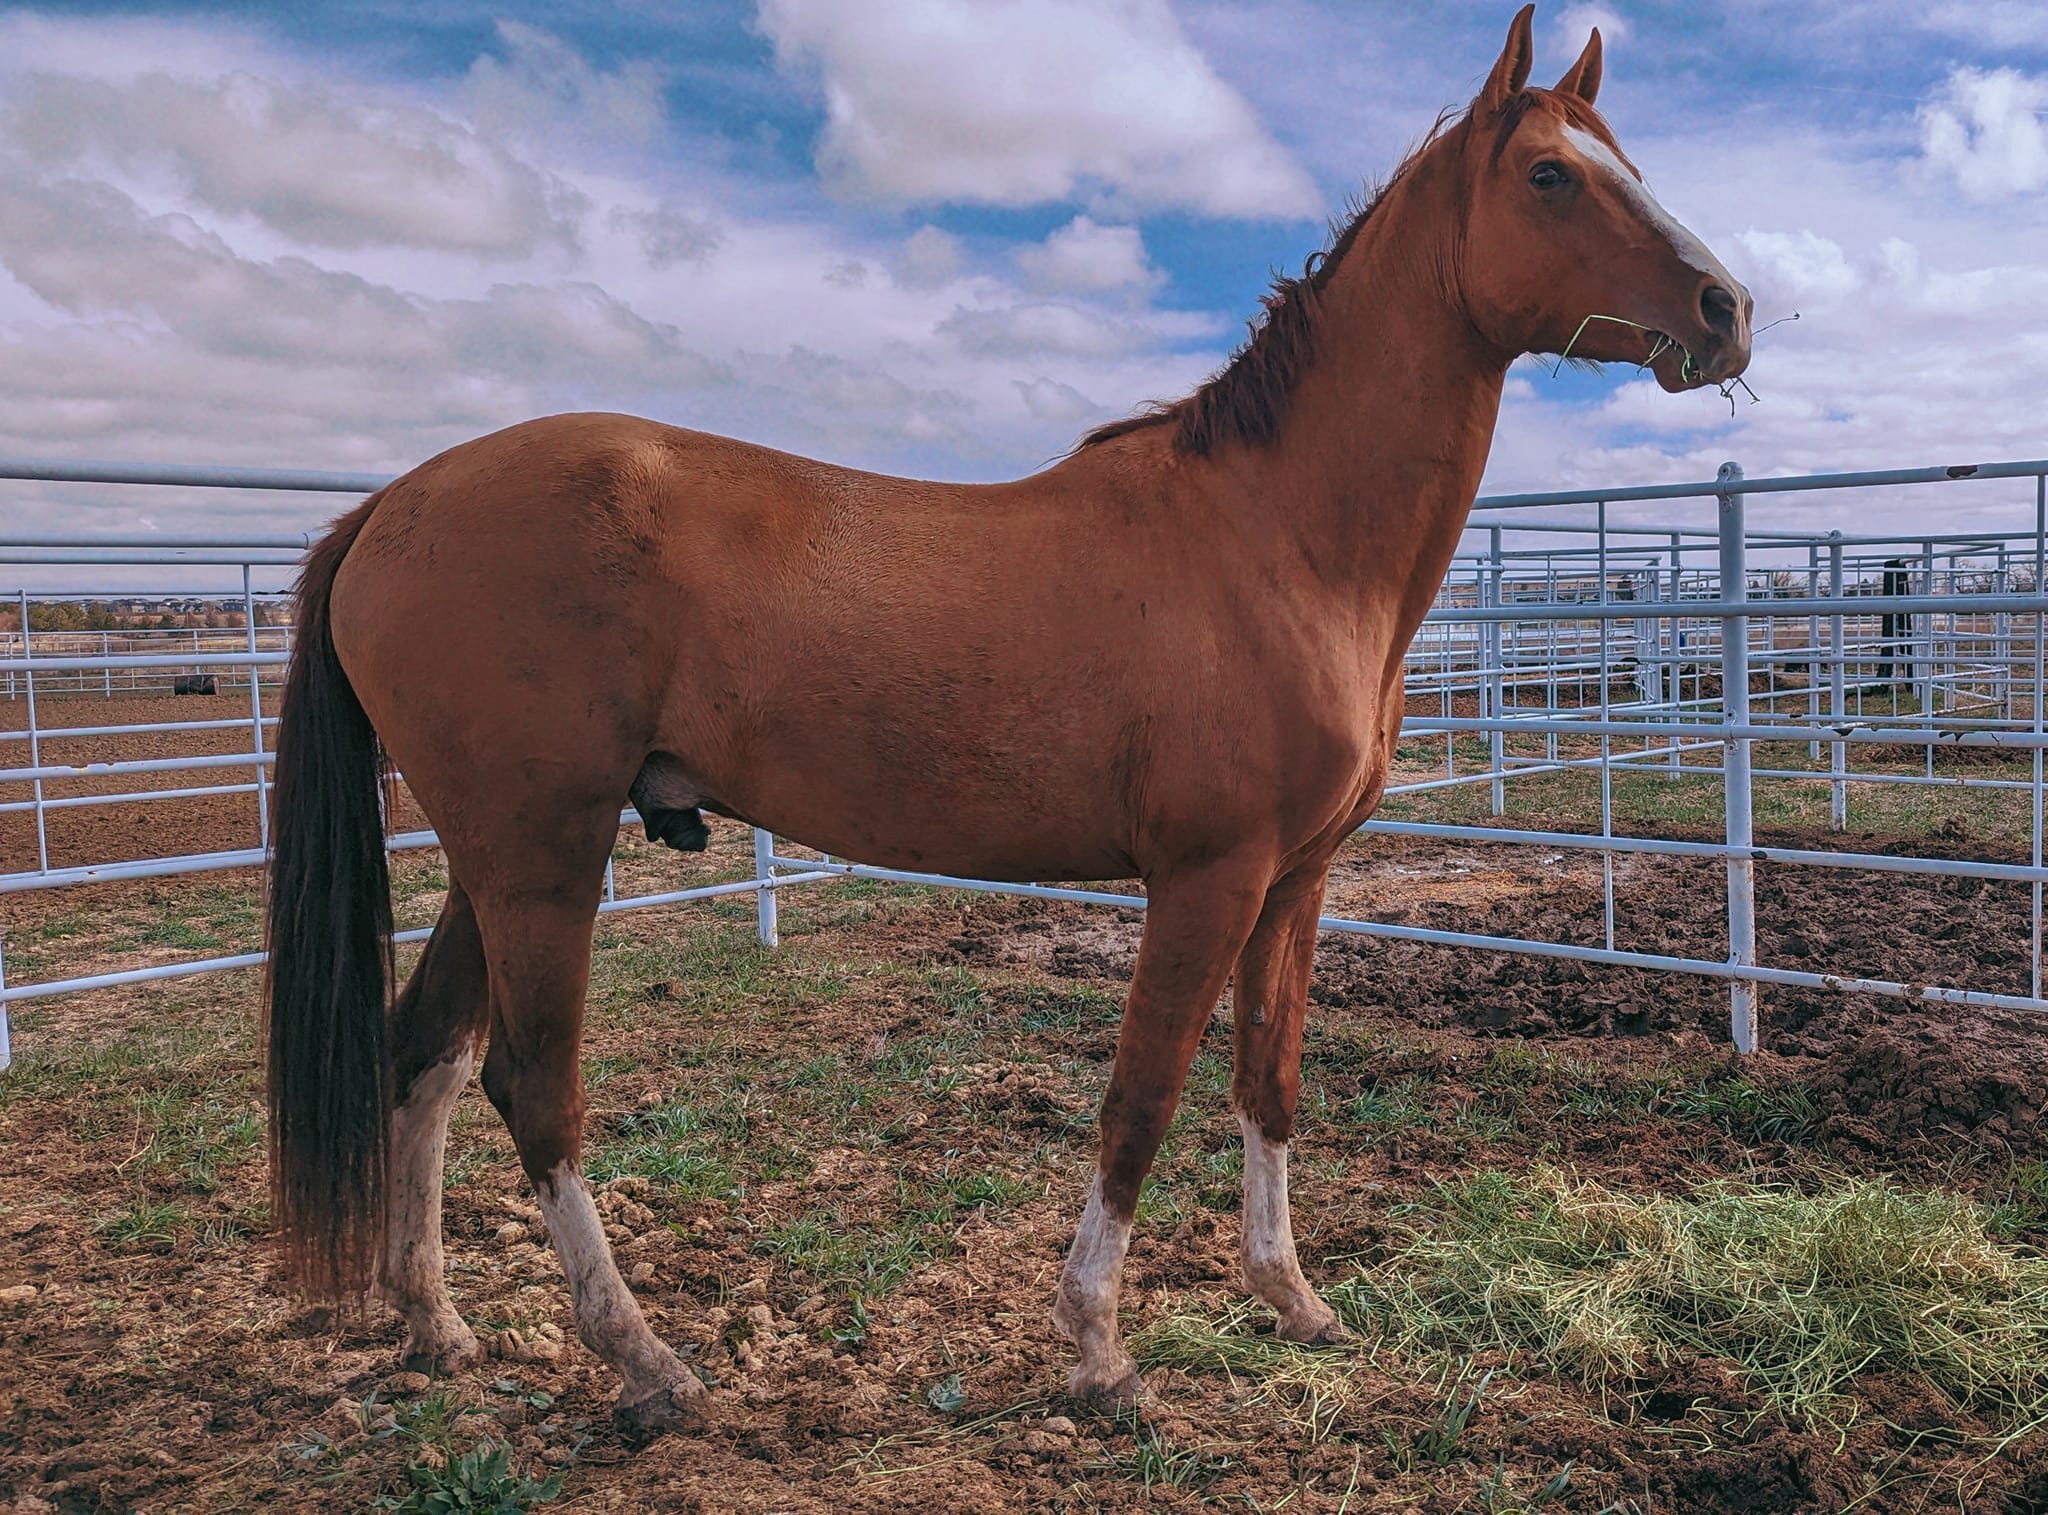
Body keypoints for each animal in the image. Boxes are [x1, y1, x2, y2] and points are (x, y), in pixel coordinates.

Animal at [265, 5, 1751, 1432]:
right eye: (1552, 175)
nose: (1728, 308)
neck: (1275, 539)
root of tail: (390, 506)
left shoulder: (1297, 882)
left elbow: (1267, 1079)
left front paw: (1293, 1299)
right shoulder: (1204, 880)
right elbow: (1141, 1096)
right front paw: (1097, 1349)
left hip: (499, 859)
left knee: (423, 1054)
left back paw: (437, 1323)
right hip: (544, 855)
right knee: (533, 1086)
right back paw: (645, 1362)